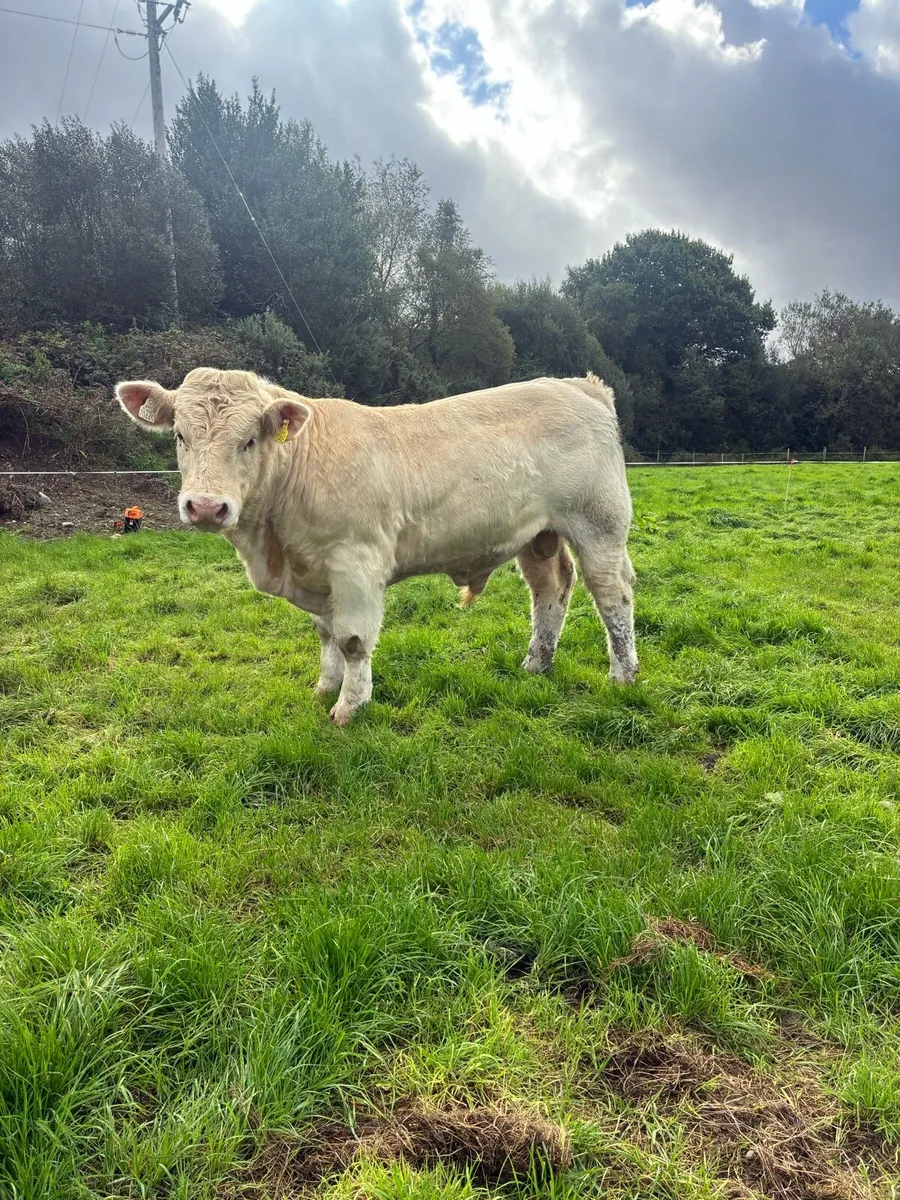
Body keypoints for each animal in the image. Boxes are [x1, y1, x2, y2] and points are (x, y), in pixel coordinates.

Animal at [116, 369, 638, 725]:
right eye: (180, 435)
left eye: (249, 440)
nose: (206, 507)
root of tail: (578, 384)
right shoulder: (318, 572)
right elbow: (326, 634)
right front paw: (324, 689)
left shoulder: (356, 563)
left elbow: (351, 639)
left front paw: (349, 706)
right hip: (538, 535)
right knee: (550, 588)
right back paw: (536, 663)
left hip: (599, 523)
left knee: (612, 595)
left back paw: (623, 676)